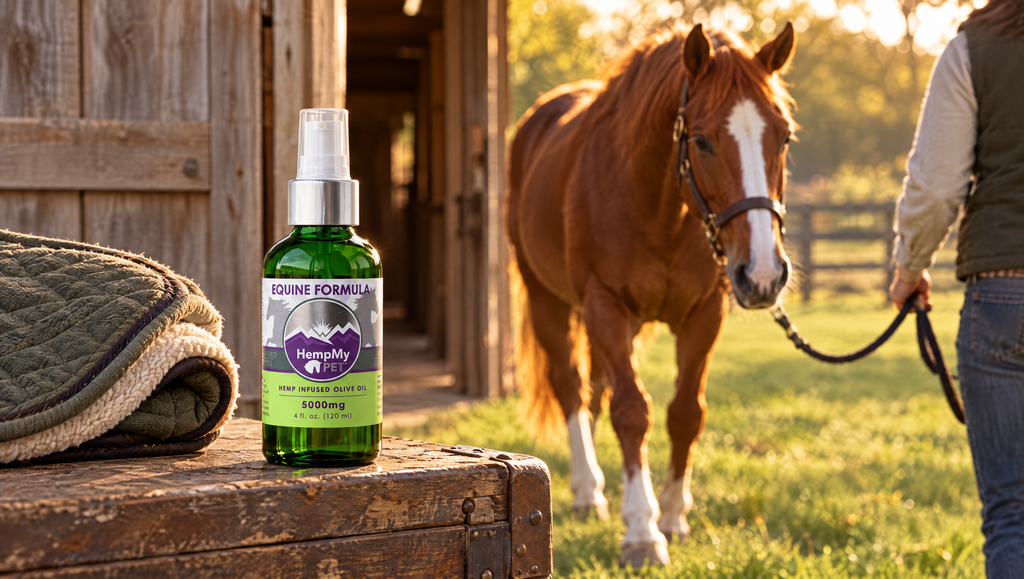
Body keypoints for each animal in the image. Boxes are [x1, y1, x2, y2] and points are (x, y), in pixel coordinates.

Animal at [506, 22, 797, 568]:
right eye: (701, 140)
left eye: (784, 136)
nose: (764, 274)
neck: (658, 208)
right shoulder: (606, 306)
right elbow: (632, 412)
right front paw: (641, 531)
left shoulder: (704, 314)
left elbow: (685, 413)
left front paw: (673, 517)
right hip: (548, 301)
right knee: (571, 387)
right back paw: (588, 491)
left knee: (595, 389)